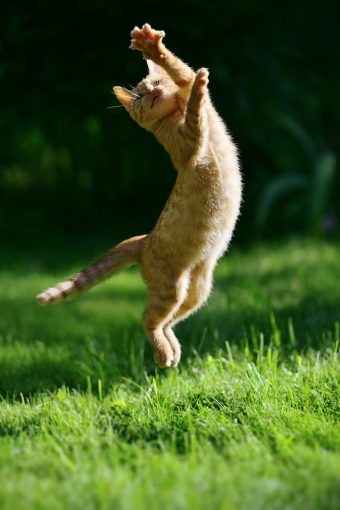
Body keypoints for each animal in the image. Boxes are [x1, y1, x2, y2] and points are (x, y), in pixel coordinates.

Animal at [37, 23, 242, 368]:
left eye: (155, 83)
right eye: (140, 95)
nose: (152, 92)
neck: (174, 113)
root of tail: (144, 240)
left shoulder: (202, 118)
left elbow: (185, 76)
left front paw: (163, 57)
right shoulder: (191, 141)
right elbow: (194, 103)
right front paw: (158, 52)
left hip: (197, 291)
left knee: (169, 321)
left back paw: (173, 351)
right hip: (170, 290)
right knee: (148, 320)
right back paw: (163, 354)